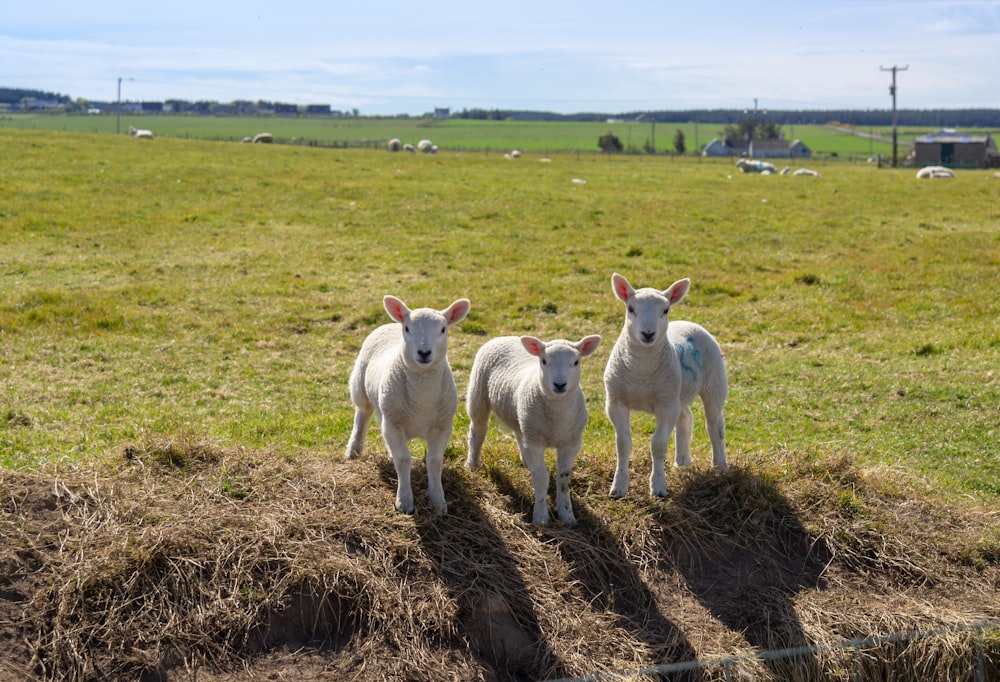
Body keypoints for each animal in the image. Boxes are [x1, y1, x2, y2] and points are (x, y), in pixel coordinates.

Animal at [348, 294, 472, 512]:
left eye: (443, 329)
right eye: (407, 328)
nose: (424, 352)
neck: (422, 400)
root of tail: (391, 323)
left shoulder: (442, 427)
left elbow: (434, 462)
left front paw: (438, 502)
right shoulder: (394, 424)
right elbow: (404, 459)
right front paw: (404, 501)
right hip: (361, 387)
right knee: (362, 415)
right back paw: (354, 449)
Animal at [462, 332, 596, 524]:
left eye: (576, 362)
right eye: (544, 361)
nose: (559, 385)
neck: (558, 413)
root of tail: (505, 336)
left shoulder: (571, 443)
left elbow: (563, 479)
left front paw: (566, 514)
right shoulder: (535, 442)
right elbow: (541, 477)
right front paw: (541, 516)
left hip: (522, 416)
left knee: (518, 434)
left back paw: (525, 461)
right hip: (478, 394)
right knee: (477, 432)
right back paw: (472, 464)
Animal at [600, 270, 728, 494]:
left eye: (665, 310)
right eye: (631, 309)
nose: (648, 333)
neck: (641, 373)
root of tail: (688, 322)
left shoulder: (666, 406)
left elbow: (658, 445)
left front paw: (658, 487)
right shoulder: (616, 402)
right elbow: (623, 444)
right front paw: (619, 487)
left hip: (714, 383)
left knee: (714, 424)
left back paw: (719, 465)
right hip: (677, 392)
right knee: (685, 418)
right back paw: (682, 463)